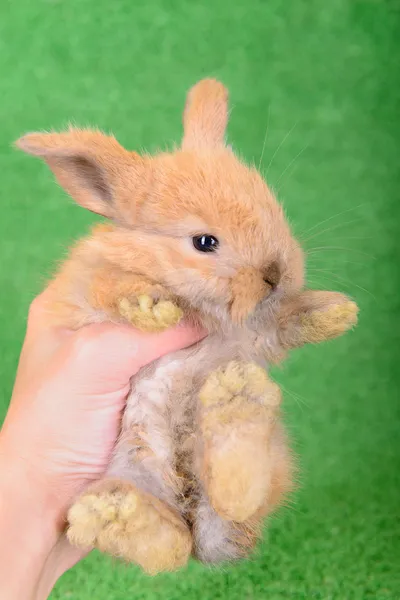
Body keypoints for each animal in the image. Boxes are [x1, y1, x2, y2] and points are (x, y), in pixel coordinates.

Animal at [16, 77, 360, 576]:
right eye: (204, 242)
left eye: (272, 209)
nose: (276, 273)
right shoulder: (88, 286)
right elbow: (111, 284)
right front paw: (152, 306)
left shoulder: (253, 333)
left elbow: (285, 320)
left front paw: (337, 311)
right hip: (137, 462)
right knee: (172, 545)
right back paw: (117, 513)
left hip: (260, 455)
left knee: (234, 504)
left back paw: (235, 402)